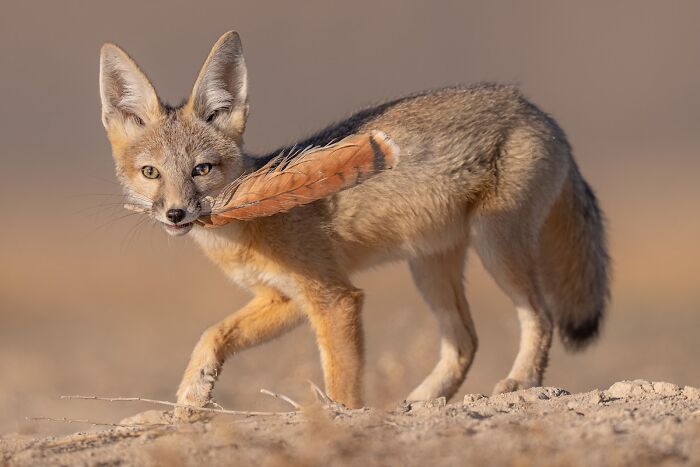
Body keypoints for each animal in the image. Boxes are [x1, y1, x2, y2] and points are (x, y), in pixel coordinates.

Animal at [99, 31, 609, 420]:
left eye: (201, 170)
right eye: (151, 173)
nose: (175, 214)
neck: (243, 229)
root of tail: (533, 108)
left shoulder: (335, 297)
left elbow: (340, 382)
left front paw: (342, 418)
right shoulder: (285, 298)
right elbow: (213, 333)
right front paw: (193, 393)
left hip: (495, 246)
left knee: (539, 316)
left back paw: (521, 380)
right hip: (429, 266)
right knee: (466, 340)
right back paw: (421, 402)